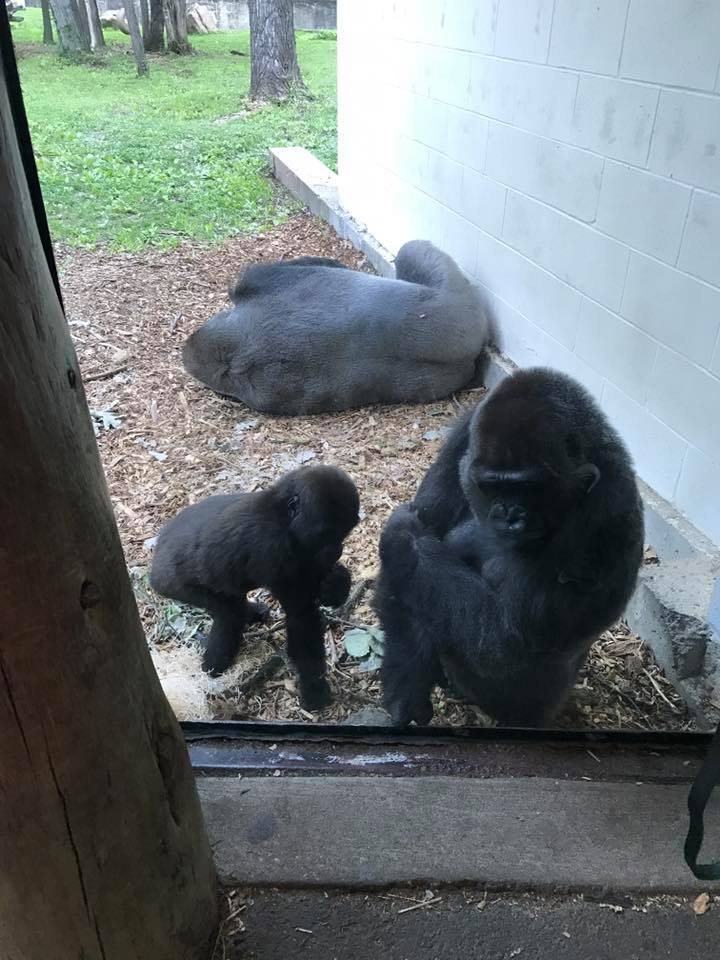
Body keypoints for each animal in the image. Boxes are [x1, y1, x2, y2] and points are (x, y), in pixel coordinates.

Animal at [150, 464, 360, 711]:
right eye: (326, 533)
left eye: (343, 531)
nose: (337, 550)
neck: (281, 514)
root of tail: (156, 553)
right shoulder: (272, 549)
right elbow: (302, 618)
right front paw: (314, 691)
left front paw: (336, 583)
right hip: (173, 584)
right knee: (228, 614)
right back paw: (213, 666)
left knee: (232, 601)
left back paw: (251, 612)